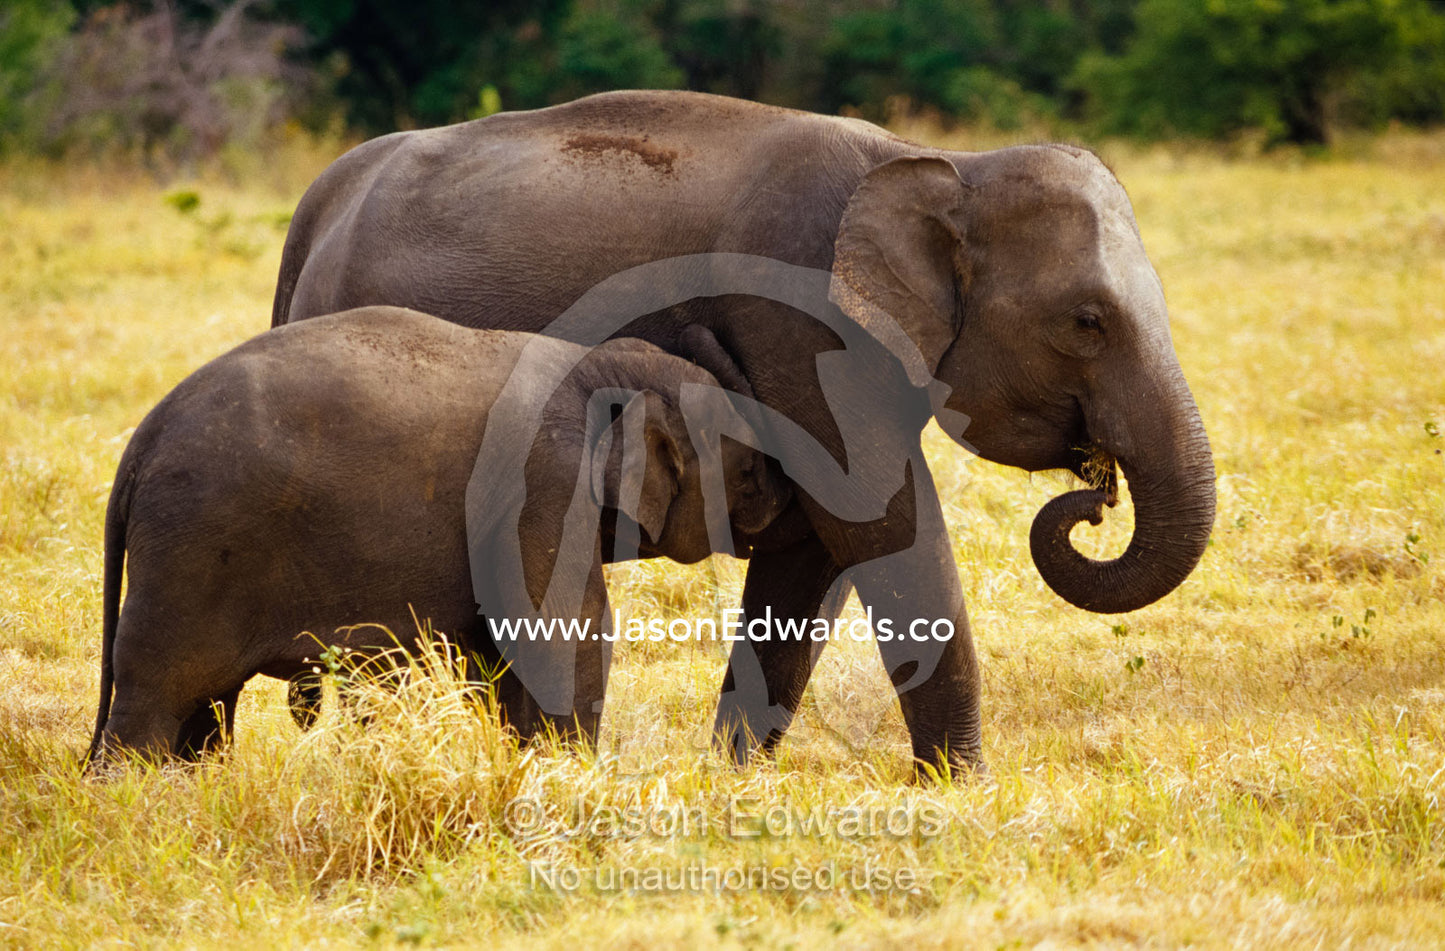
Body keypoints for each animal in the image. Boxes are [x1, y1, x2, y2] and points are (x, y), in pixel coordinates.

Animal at [87, 306, 789, 764]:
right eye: (748, 470)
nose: (782, 501)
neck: (598, 363)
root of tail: (140, 445)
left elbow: (501, 643)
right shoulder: (543, 480)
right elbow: (569, 625)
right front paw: (570, 774)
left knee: (205, 708)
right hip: (189, 552)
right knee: (160, 693)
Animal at [270, 90, 1217, 775]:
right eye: (1088, 322)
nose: (1093, 497)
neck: (940, 166)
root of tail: (314, 209)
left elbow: (813, 549)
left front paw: (732, 777)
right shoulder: (801, 326)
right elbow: (876, 524)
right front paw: (965, 787)